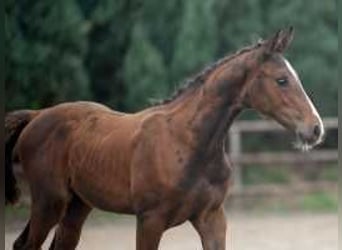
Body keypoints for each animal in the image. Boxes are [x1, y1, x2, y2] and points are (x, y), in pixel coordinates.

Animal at [6, 26, 324, 249]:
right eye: (282, 80)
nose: (315, 128)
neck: (189, 143)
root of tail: (37, 115)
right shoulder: (149, 220)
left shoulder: (212, 217)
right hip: (49, 201)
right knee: (27, 244)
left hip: (77, 205)